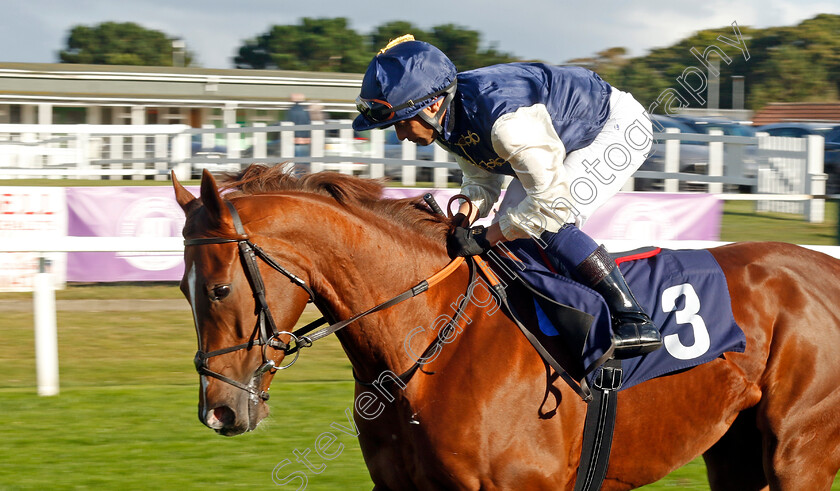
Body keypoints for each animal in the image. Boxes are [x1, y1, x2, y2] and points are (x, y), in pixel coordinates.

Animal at [172, 166, 840, 491]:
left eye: (220, 288)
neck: (429, 346)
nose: (218, 412)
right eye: (182, 288)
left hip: (799, 453)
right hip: (736, 453)